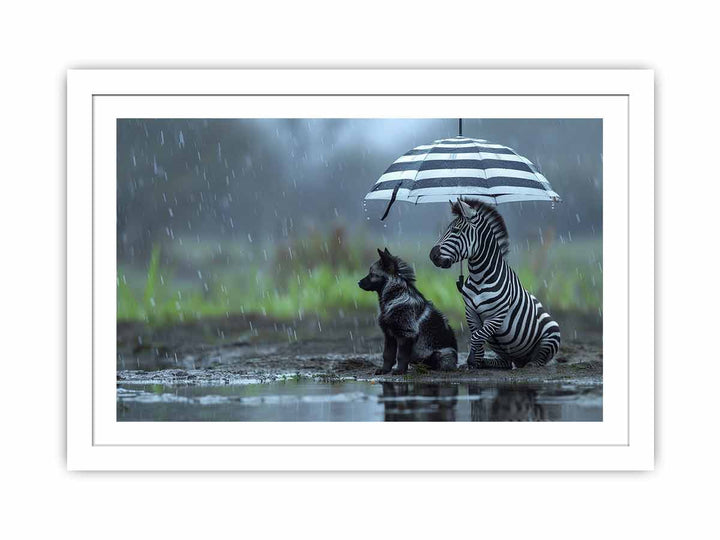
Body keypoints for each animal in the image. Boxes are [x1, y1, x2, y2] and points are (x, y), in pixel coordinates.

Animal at [429, 198, 561, 369]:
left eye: (456, 231)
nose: (432, 255)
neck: (480, 277)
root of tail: (521, 360)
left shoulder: (496, 317)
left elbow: (477, 336)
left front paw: (473, 362)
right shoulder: (471, 313)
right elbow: (476, 337)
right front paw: (474, 362)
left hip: (552, 333)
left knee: (540, 359)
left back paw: (531, 364)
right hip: (500, 346)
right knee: (506, 362)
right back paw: (488, 363)